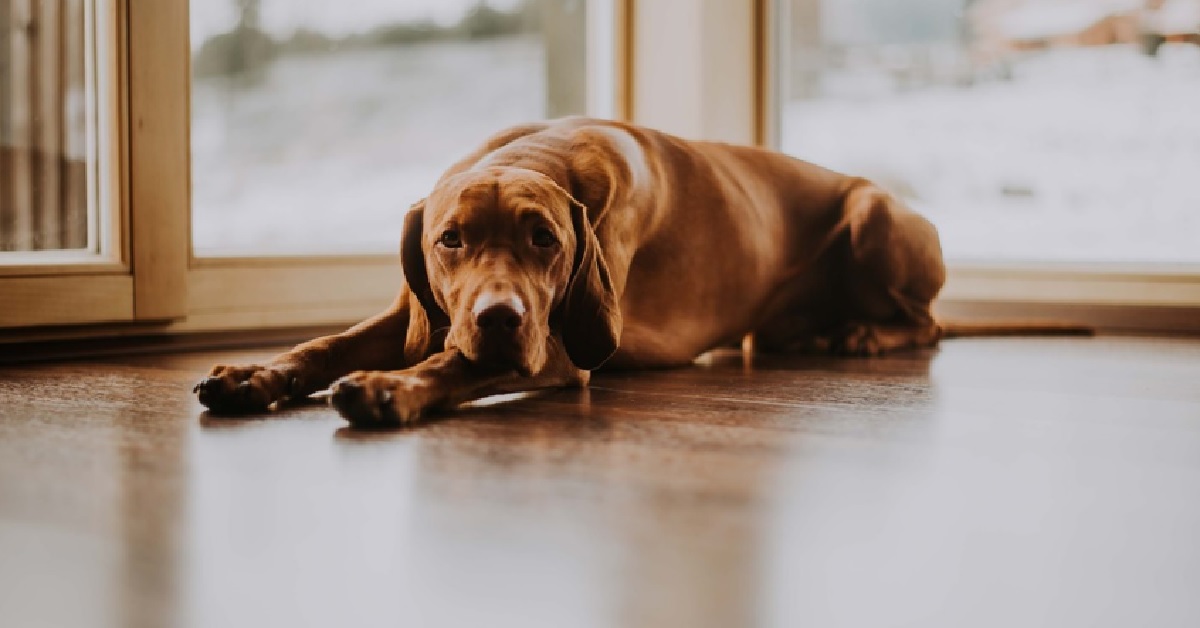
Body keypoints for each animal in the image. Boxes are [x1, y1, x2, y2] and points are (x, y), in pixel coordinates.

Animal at [189, 115, 1089, 425]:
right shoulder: (420, 306)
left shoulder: (558, 346)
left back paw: (863, 334)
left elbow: (450, 362)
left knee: (926, 322)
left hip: (873, 211)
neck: (539, 151)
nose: (500, 317)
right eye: (450, 241)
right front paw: (254, 375)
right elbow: (330, 343)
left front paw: (389, 388)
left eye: (544, 239)